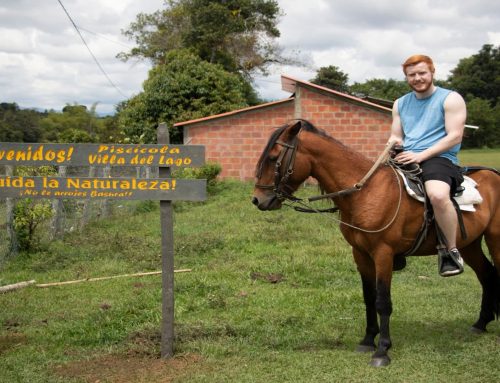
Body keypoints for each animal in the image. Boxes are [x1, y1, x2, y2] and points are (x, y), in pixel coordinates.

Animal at [252, 118, 500, 368]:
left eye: (273, 157)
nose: (257, 200)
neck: (364, 193)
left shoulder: (383, 254)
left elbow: (382, 300)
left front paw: (382, 350)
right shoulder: (360, 254)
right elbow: (368, 297)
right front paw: (368, 340)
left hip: (494, 240)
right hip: (468, 245)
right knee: (487, 275)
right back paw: (480, 324)